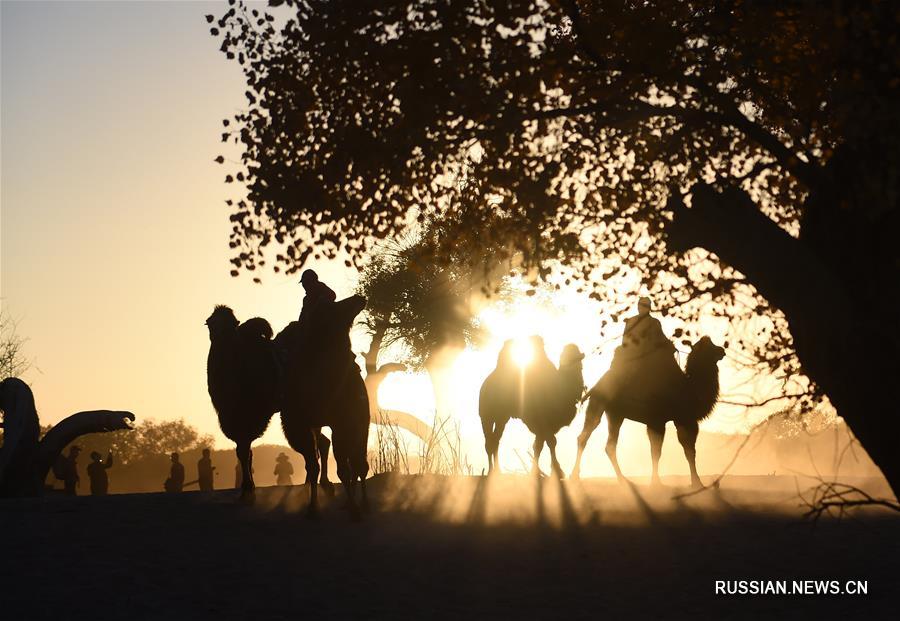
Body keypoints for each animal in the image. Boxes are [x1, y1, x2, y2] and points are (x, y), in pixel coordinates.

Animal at [205, 302, 334, 502]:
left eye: (232, 325)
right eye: (210, 324)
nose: (220, 340)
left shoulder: (252, 416)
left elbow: (244, 451)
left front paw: (248, 489)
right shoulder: (231, 418)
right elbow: (244, 452)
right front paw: (247, 489)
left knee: (318, 444)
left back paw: (322, 483)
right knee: (321, 442)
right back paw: (314, 484)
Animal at [278, 294, 370, 516]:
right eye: (333, 307)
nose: (359, 297)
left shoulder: (343, 422)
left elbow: (344, 468)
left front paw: (354, 509)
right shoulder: (299, 425)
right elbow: (312, 467)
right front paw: (312, 507)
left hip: (361, 423)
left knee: (359, 463)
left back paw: (363, 502)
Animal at [482, 336, 588, 478]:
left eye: (576, 354)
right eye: (564, 356)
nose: (578, 358)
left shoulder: (543, 426)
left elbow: (538, 446)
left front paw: (537, 472)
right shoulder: (542, 421)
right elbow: (550, 442)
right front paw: (557, 471)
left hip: (502, 418)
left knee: (495, 439)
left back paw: (497, 471)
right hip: (487, 416)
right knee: (489, 441)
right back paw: (491, 471)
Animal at [572, 336, 728, 486]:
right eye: (709, 346)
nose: (722, 350)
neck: (689, 388)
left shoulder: (679, 420)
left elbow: (683, 451)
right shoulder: (663, 420)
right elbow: (661, 451)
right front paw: (662, 482)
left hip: (615, 414)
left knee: (609, 445)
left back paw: (623, 480)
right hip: (598, 403)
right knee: (586, 435)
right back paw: (574, 477)